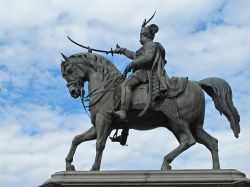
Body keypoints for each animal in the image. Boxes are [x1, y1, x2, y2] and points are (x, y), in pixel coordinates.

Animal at [60, 51, 240, 171]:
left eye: (69, 71)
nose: (73, 92)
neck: (106, 89)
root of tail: (197, 83)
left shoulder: (104, 120)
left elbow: (99, 144)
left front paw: (94, 168)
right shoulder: (99, 125)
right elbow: (77, 139)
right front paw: (69, 164)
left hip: (177, 121)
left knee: (188, 140)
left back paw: (166, 163)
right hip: (193, 125)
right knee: (211, 142)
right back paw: (216, 169)